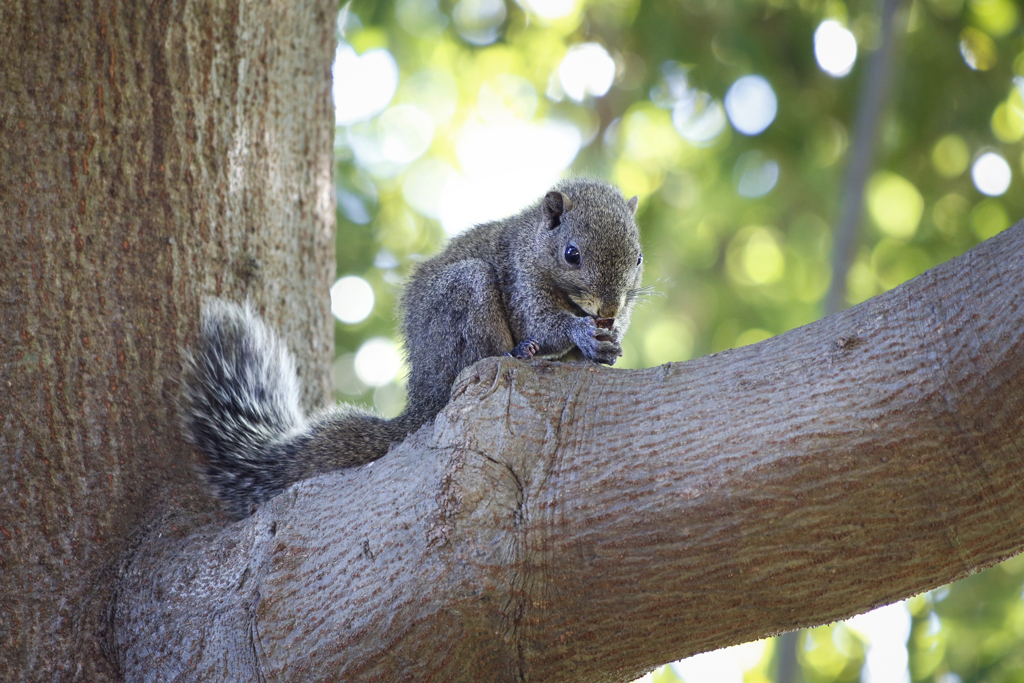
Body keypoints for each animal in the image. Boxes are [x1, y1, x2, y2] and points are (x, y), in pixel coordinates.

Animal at [176, 178, 638, 518]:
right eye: (572, 254)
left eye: (637, 260)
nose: (609, 310)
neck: (537, 245)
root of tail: (422, 395)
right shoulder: (521, 278)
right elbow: (542, 322)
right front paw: (580, 334)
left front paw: (609, 344)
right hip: (464, 299)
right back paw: (515, 354)